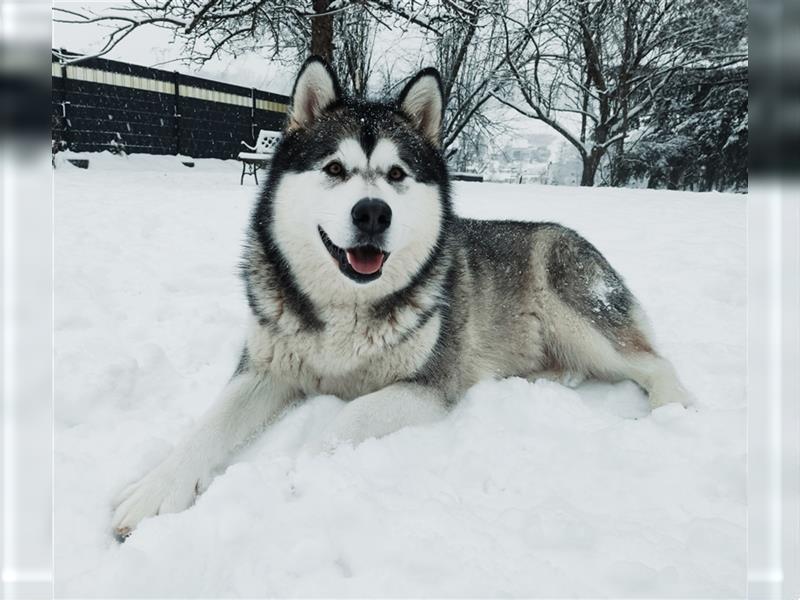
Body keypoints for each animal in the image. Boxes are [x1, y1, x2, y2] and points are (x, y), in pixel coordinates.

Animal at [109, 56, 692, 536]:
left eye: (396, 174)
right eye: (335, 169)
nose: (372, 212)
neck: (345, 310)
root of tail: (571, 233)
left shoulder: (428, 385)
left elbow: (343, 423)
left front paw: (295, 479)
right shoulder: (264, 367)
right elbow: (208, 426)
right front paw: (155, 489)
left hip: (579, 317)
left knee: (654, 362)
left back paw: (673, 412)